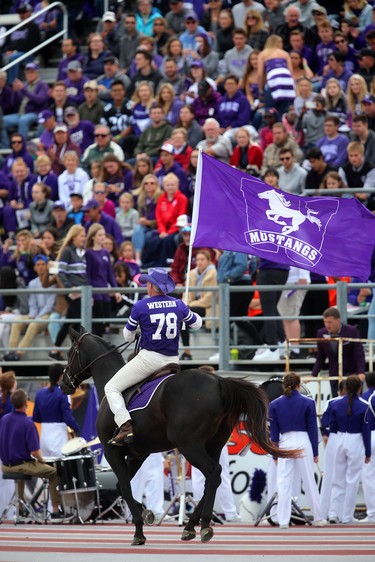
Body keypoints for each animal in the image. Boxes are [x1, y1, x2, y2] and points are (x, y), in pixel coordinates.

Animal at [62, 326, 300, 544]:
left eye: (70, 352)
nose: (64, 383)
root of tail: (219, 382)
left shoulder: (113, 450)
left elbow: (126, 488)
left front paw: (139, 530)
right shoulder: (139, 454)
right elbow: (122, 486)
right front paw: (147, 514)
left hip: (189, 445)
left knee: (213, 472)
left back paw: (202, 525)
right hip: (212, 445)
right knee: (213, 478)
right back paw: (192, 526)